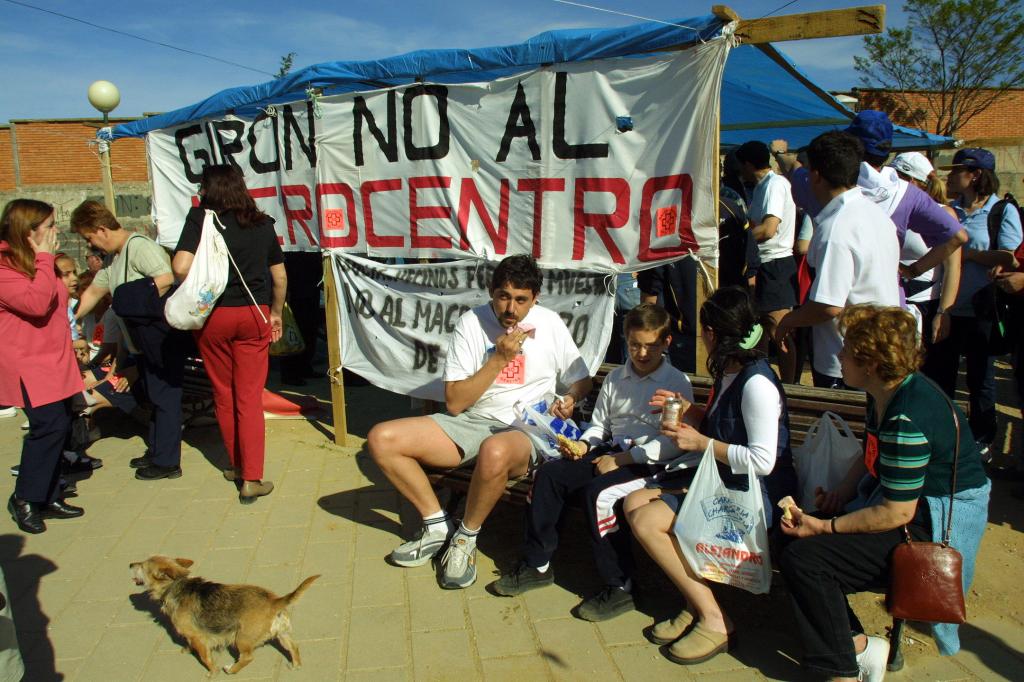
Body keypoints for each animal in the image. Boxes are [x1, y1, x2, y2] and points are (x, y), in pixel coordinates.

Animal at [130, 557, 317, 671]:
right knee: (294, 647)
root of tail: (274, 601)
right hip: (282, 634)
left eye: (142, 566)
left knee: (247, 657)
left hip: (241, 639)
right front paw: (187, 649)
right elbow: (190, 643)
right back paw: (295, 665)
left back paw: (231, 670)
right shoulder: (193, 636)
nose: (130, 564)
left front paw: (212, 673)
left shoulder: (199, 638)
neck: (175, 586)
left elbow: (206, 658)